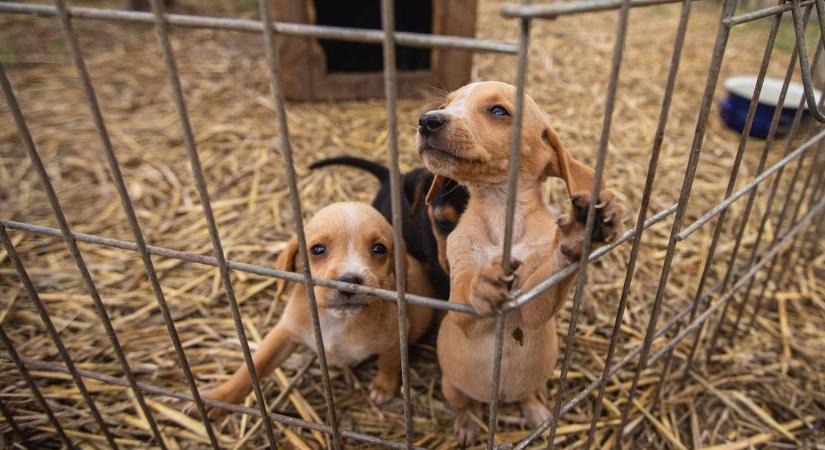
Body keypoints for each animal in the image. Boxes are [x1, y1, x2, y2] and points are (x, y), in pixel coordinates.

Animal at [194, 203, 434, 418]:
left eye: (379, 249)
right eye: (318, 249)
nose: (349, 282)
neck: (335, 320)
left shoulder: (398, 335)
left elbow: (390, 362)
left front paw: (384, 387)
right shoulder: (285, 332)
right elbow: (253, 366)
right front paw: (220, 398)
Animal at [418, 80, 624, 442]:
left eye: (499, 111)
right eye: (446, 105)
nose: (427, 121)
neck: (502, 214)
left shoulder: (534, 307)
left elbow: (551, 271)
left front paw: (576, 237)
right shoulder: (459, 292)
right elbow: (467, 293)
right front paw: (484, 284)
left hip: (536, 380)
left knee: (528, 395)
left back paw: (536, 412)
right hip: (452, 387)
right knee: (465, 404)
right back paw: (467, 422)